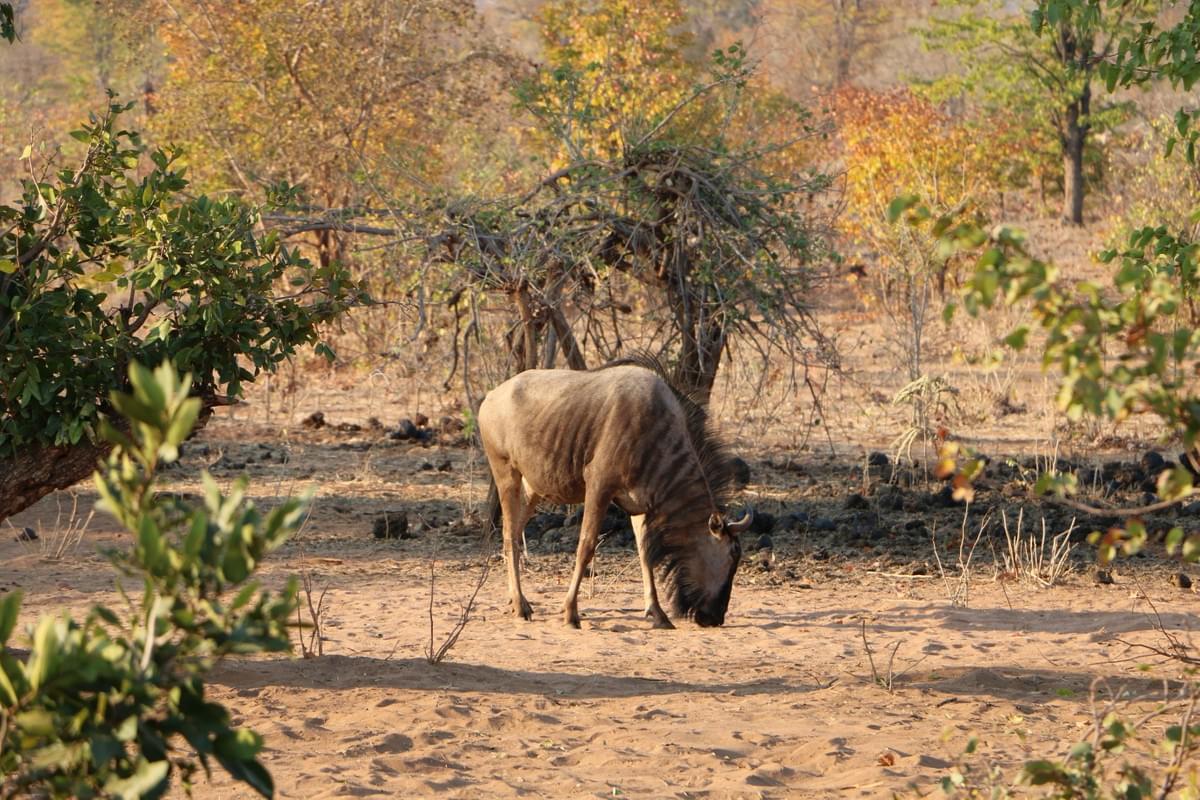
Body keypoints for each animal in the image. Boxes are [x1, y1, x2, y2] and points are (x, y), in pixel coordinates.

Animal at [478, 355, 751, 629]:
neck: (656, 433)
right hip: (507, 476)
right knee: (509, 534)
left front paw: (657, 613)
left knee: (514, 531)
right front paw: (570, 612)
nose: (716, 617)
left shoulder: (640, 504)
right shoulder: (599, 486)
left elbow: (645, 554)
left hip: (532, 489)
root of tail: (490, 397)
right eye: (732, 556)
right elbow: (586, 547)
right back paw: (520, 605)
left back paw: (516, 599)